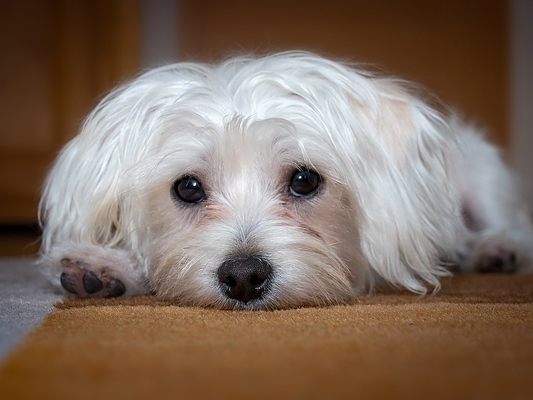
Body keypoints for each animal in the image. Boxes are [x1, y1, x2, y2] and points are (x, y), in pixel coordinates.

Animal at [39, 50, 532, 310]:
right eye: (188, 187)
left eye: (304, 180)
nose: (243, 277)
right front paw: (104, 264)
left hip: (481, 174)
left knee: (510, 226)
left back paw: (495, 249)